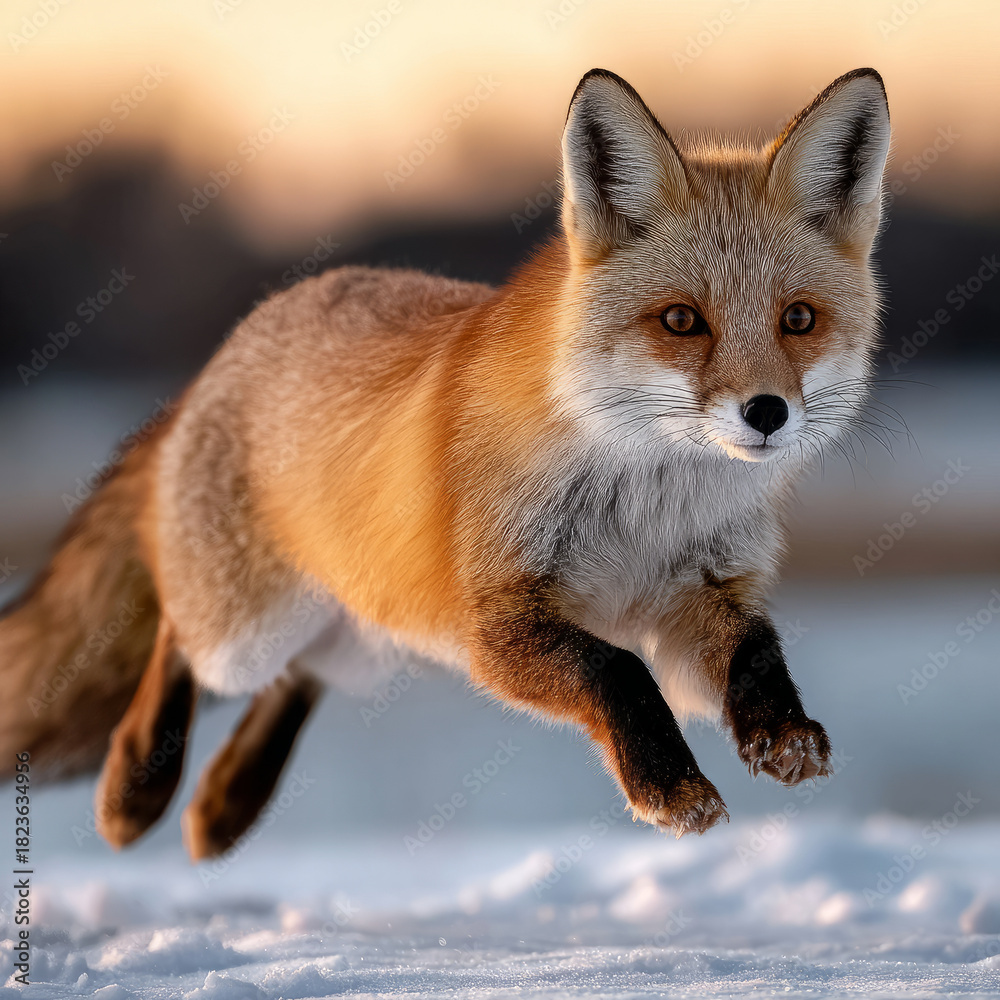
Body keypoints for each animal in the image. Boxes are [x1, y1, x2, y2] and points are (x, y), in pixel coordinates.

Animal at [0, 67, 890, 860]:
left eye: (798, 320)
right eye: (681, 321)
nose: (766, 413)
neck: (645, 508)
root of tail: (231, 345)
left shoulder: (697, 591)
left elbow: (756, 651)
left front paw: (786, 734)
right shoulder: (497, 622)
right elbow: (618, 671)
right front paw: (671, 792)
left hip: (363, 627)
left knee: (296, 680)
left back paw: (223, 806)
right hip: (247, 630)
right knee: (176, 639)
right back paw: (135, 794)